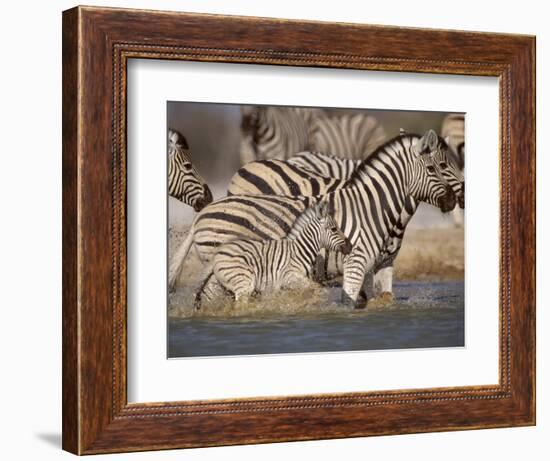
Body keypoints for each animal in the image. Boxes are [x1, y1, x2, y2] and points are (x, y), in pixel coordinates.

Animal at [198, 199, 354, 308]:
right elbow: (317, 289)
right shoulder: (290, 276)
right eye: (334, 229)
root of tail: (217, 253)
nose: (350, 247)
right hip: (243, 283)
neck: (300, 250)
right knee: (239, 306)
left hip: (221, 285)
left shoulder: (285, 286)